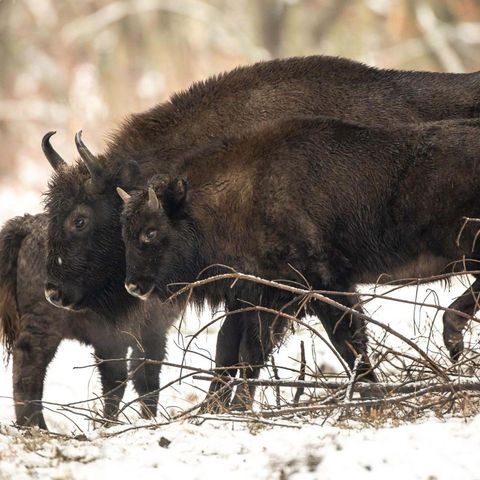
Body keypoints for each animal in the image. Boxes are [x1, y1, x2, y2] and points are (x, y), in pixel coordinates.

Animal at [0, 213, 177, 428]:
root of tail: (26, 225)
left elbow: (137, 378)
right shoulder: (142, 332)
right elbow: (128, 379)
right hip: (45, 325)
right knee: (29, 367)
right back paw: (35, 426)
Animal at [120, 117, 480, 412]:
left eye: (151, 231)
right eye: (126, 232)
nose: (133, 285)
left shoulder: (315, 286)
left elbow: (341, 341)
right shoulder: (261, 296)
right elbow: (237, 351)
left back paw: (452, 336)